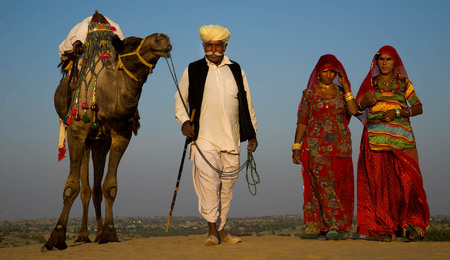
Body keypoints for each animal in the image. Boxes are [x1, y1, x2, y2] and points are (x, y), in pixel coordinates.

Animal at [41, 32, 171, 252]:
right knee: (85, 188)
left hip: (99, 142)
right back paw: (82, 236)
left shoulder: (121, 135)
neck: (104, 96)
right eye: (132, 44)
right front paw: (55, 238)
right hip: (83, 139)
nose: (162, 38)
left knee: (94, 188)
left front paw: (109, 233)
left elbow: (109, 186)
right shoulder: (76, 132)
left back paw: (96, 233)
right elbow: (71, 187)